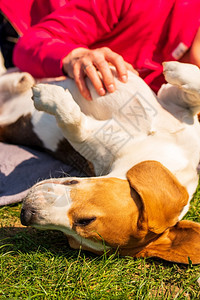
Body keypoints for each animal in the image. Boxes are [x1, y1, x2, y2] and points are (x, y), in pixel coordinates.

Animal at [0, 62, 200, 264]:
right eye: (87, 220)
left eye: (83, 223)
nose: (25, 215)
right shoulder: (176, 107)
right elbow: (195, 83)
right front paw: (175, 69)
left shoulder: (89, 140)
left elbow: (75, 125)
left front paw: (50, 97)